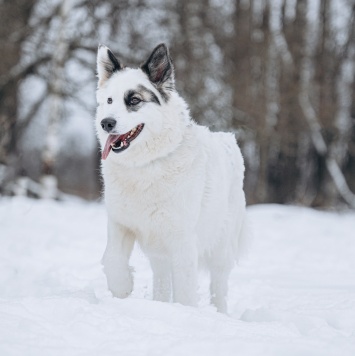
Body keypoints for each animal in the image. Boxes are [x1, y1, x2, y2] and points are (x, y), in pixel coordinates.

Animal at [96, 43, 249, 312]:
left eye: (134, 100)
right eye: (109, 100)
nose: (106, 123)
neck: (144, 167)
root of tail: (228, 139)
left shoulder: (182, 242)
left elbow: (186, 292)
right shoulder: (120, 224)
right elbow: (113, 259)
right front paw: (122, 288)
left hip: (221, 247)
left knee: (219, 288)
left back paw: (220, 313)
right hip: (159, 250)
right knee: (161, 279)